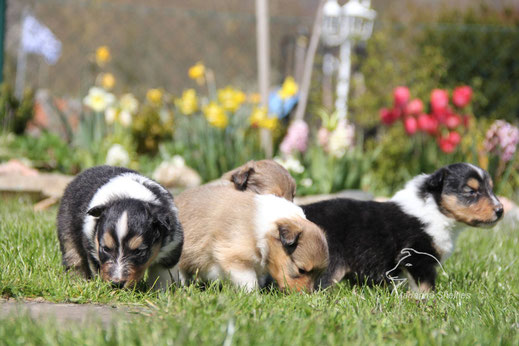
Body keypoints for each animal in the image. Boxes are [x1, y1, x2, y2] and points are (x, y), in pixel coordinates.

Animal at [177, 185, 328, 290]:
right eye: (301, 270)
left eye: (319, 274)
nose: (306, 295)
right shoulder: (235, 258)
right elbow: (249, 281)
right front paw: (254, 296)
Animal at [302, 163, 506, 292]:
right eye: (471, 191)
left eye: (491, 189)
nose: (500, 210)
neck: (435, 209)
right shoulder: (416, 255)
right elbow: (426, 286)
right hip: (330, 263)